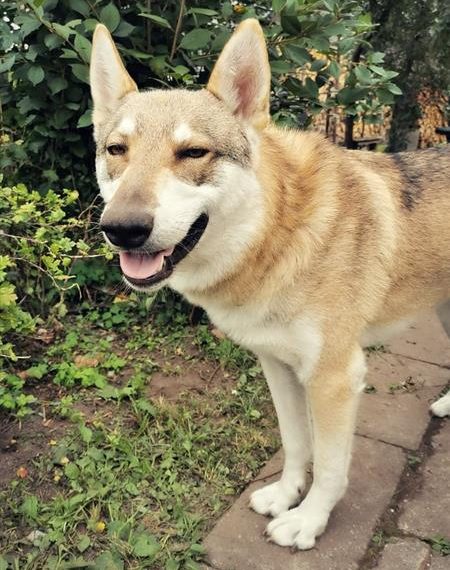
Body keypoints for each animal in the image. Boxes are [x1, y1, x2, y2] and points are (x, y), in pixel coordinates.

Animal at [89, 19, 450, 549]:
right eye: (117, 150)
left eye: (193, 152)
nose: (122, 229)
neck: (279, 231)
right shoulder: (277, 365)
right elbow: (297, 445)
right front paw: (285, 495)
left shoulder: (335, 378)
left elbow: (330, 468)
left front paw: (308, 522)